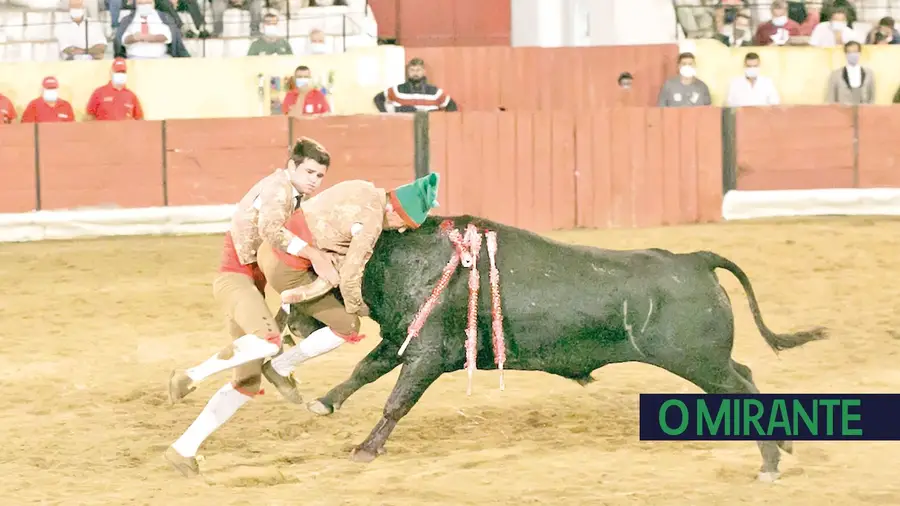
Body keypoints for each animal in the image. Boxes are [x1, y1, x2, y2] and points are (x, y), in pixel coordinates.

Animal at [276, 214, 828, 482]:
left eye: (305, 269)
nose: (288, 322)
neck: (392, 257)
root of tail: (694, 257)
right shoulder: (400, 340)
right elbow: (363, 371)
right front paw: (323, 403)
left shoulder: (426, 355)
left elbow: (395, 401)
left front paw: (366, 448)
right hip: (707, 360)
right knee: (747, 374)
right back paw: (783, 447)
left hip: (698, 362)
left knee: (742, 388)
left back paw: (770, 463)